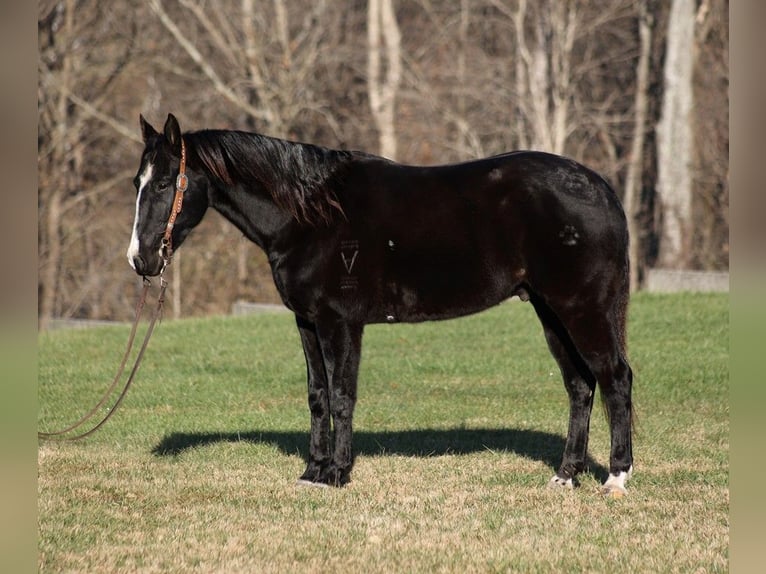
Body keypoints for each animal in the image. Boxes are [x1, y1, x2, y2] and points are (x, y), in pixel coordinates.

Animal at [129, 115, 636, 498]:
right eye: (138, 181)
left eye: (164, 183)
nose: (140, 259)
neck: (312, 215)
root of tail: (602, 189)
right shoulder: (307, 322)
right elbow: (317, 396)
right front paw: (312, 473)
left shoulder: (340, 322)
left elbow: (341, 395)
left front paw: (336, 475)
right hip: (551, 312)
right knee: (579, 385)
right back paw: (565, 476)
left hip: (581, 308)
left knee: (615, 379)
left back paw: (616, 477)